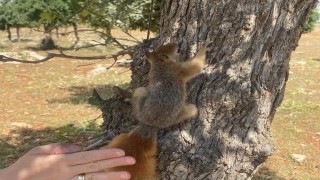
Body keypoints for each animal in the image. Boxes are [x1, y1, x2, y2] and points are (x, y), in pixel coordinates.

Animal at [104, 43, 206, 179]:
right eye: (175, 50)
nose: (177, 44)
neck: (160, 63)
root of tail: (150, 124)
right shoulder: (180, 69)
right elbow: (196, 67)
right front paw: (205, 47)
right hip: (169, 106)